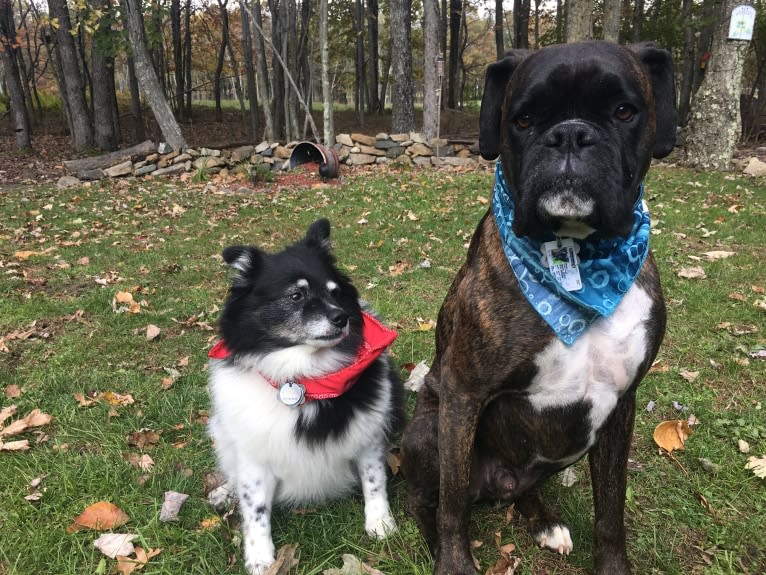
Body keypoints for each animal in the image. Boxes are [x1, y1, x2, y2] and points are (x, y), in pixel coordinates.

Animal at [207, 218, 404, 572]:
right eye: (296, 295)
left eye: (335, 292)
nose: (341, 317)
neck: (303, 380)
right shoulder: (254, 455)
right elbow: (255, 509)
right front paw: (260, 557)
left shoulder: (367, 436)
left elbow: (374, 481)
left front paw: (380, 523)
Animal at [402, 41, 680, 575]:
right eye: (524, 119)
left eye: (624, 111)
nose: (570, 134)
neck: (580, 262)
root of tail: (496, 483)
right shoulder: (463, 396)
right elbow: (451, 508)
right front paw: (453, 562)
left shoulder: (622, 403)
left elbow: (610, 507)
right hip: (428, 429)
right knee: (431, 501)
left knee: (523, 490)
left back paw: (545, 520)